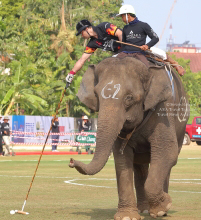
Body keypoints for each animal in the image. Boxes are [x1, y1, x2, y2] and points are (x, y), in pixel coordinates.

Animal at [68, 57, 188, 220]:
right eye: (97, 95)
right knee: (140, 165)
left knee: (167, 162)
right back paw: (144, 210)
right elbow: (122, 158)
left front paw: (164, 207)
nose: (71, 161)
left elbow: (167, 151)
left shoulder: (163, 110)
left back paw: (160, 211)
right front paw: (127, 217)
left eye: (129, 98)